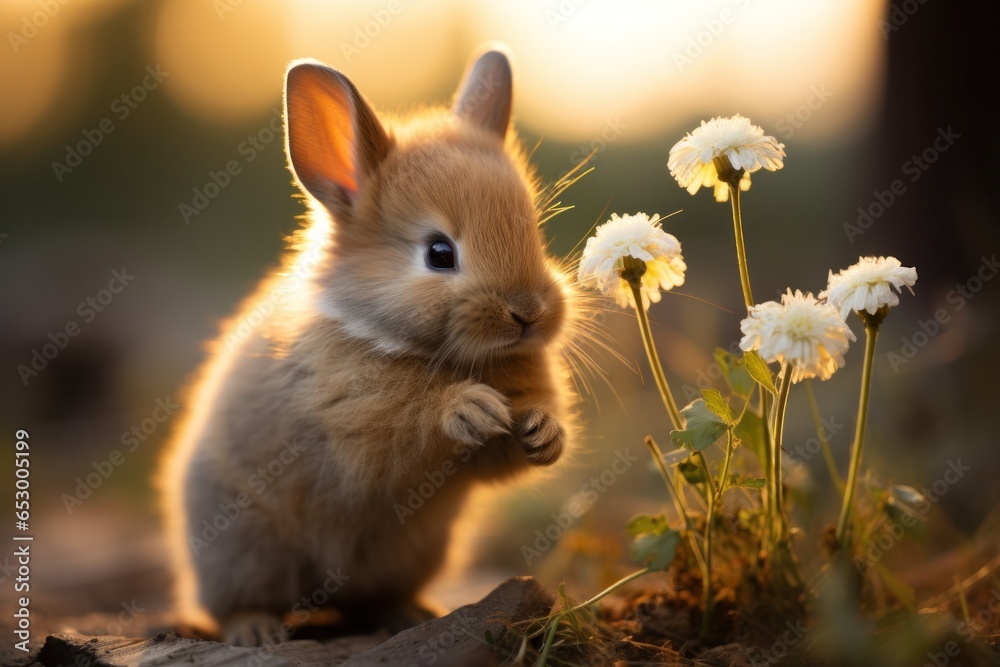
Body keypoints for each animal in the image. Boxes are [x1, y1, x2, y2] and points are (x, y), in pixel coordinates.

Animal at [158, 47, 580, 648]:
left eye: (534, 235)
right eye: (439, 253)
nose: (528, 314)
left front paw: (544, 433)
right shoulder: (354, 423)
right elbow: (403, 428)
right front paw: (469, 408)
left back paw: (411, 614)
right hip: (243, 549)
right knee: (239, 602)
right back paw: (257, 633)